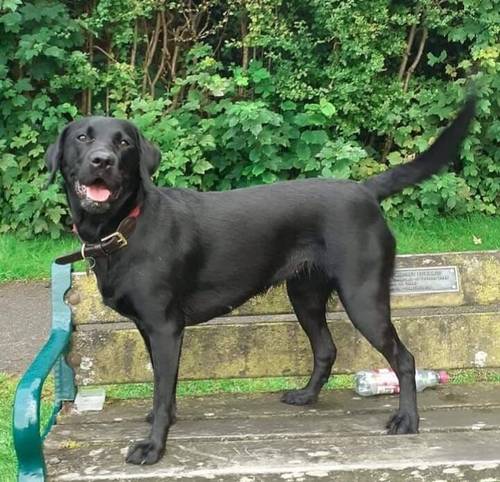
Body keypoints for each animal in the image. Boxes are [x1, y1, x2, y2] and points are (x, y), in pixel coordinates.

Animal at [46, 98, 472, 464]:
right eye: (83, 137)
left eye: (124, 142)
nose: (103, 160)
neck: (126, 227)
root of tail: (365, 190)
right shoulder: (148, 329)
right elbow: (164, 386)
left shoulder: (165, 326)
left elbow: (163, 390)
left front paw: (153, 447)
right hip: (305, 295)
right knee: (326, 349)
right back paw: (306, 396)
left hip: (363, 297)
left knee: (404, 357)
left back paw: (408, 421)